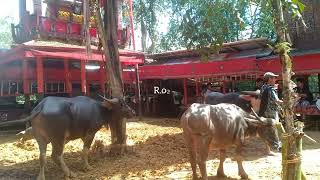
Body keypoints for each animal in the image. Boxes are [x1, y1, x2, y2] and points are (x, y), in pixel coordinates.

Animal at [0, 96, 134, 180]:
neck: (100, 109)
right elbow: (85, 150)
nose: (132, 111)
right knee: (56, 155)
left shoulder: (79, 136)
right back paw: (70, 173)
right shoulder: (90, 133)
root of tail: (41, 107)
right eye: (122, 104)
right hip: (58, 138)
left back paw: (41, 176)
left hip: (41, 138)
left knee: (42, 156)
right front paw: (86, 166)